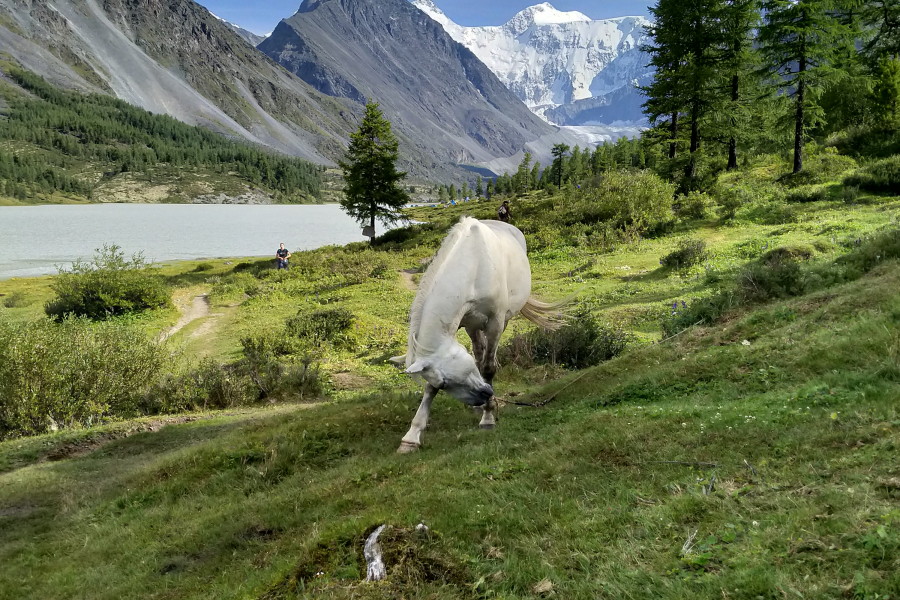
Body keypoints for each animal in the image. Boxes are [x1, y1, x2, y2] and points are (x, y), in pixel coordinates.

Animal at [392, 218, 568, 452]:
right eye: (444, 384)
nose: (485, 394)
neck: (474, 266)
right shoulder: (464, 325)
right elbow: (435, 385)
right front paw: (411, 437)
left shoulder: (495, 323)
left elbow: (488, 367)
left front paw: (488, 417)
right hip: (473, 326)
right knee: (478, 351)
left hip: (502, 320)